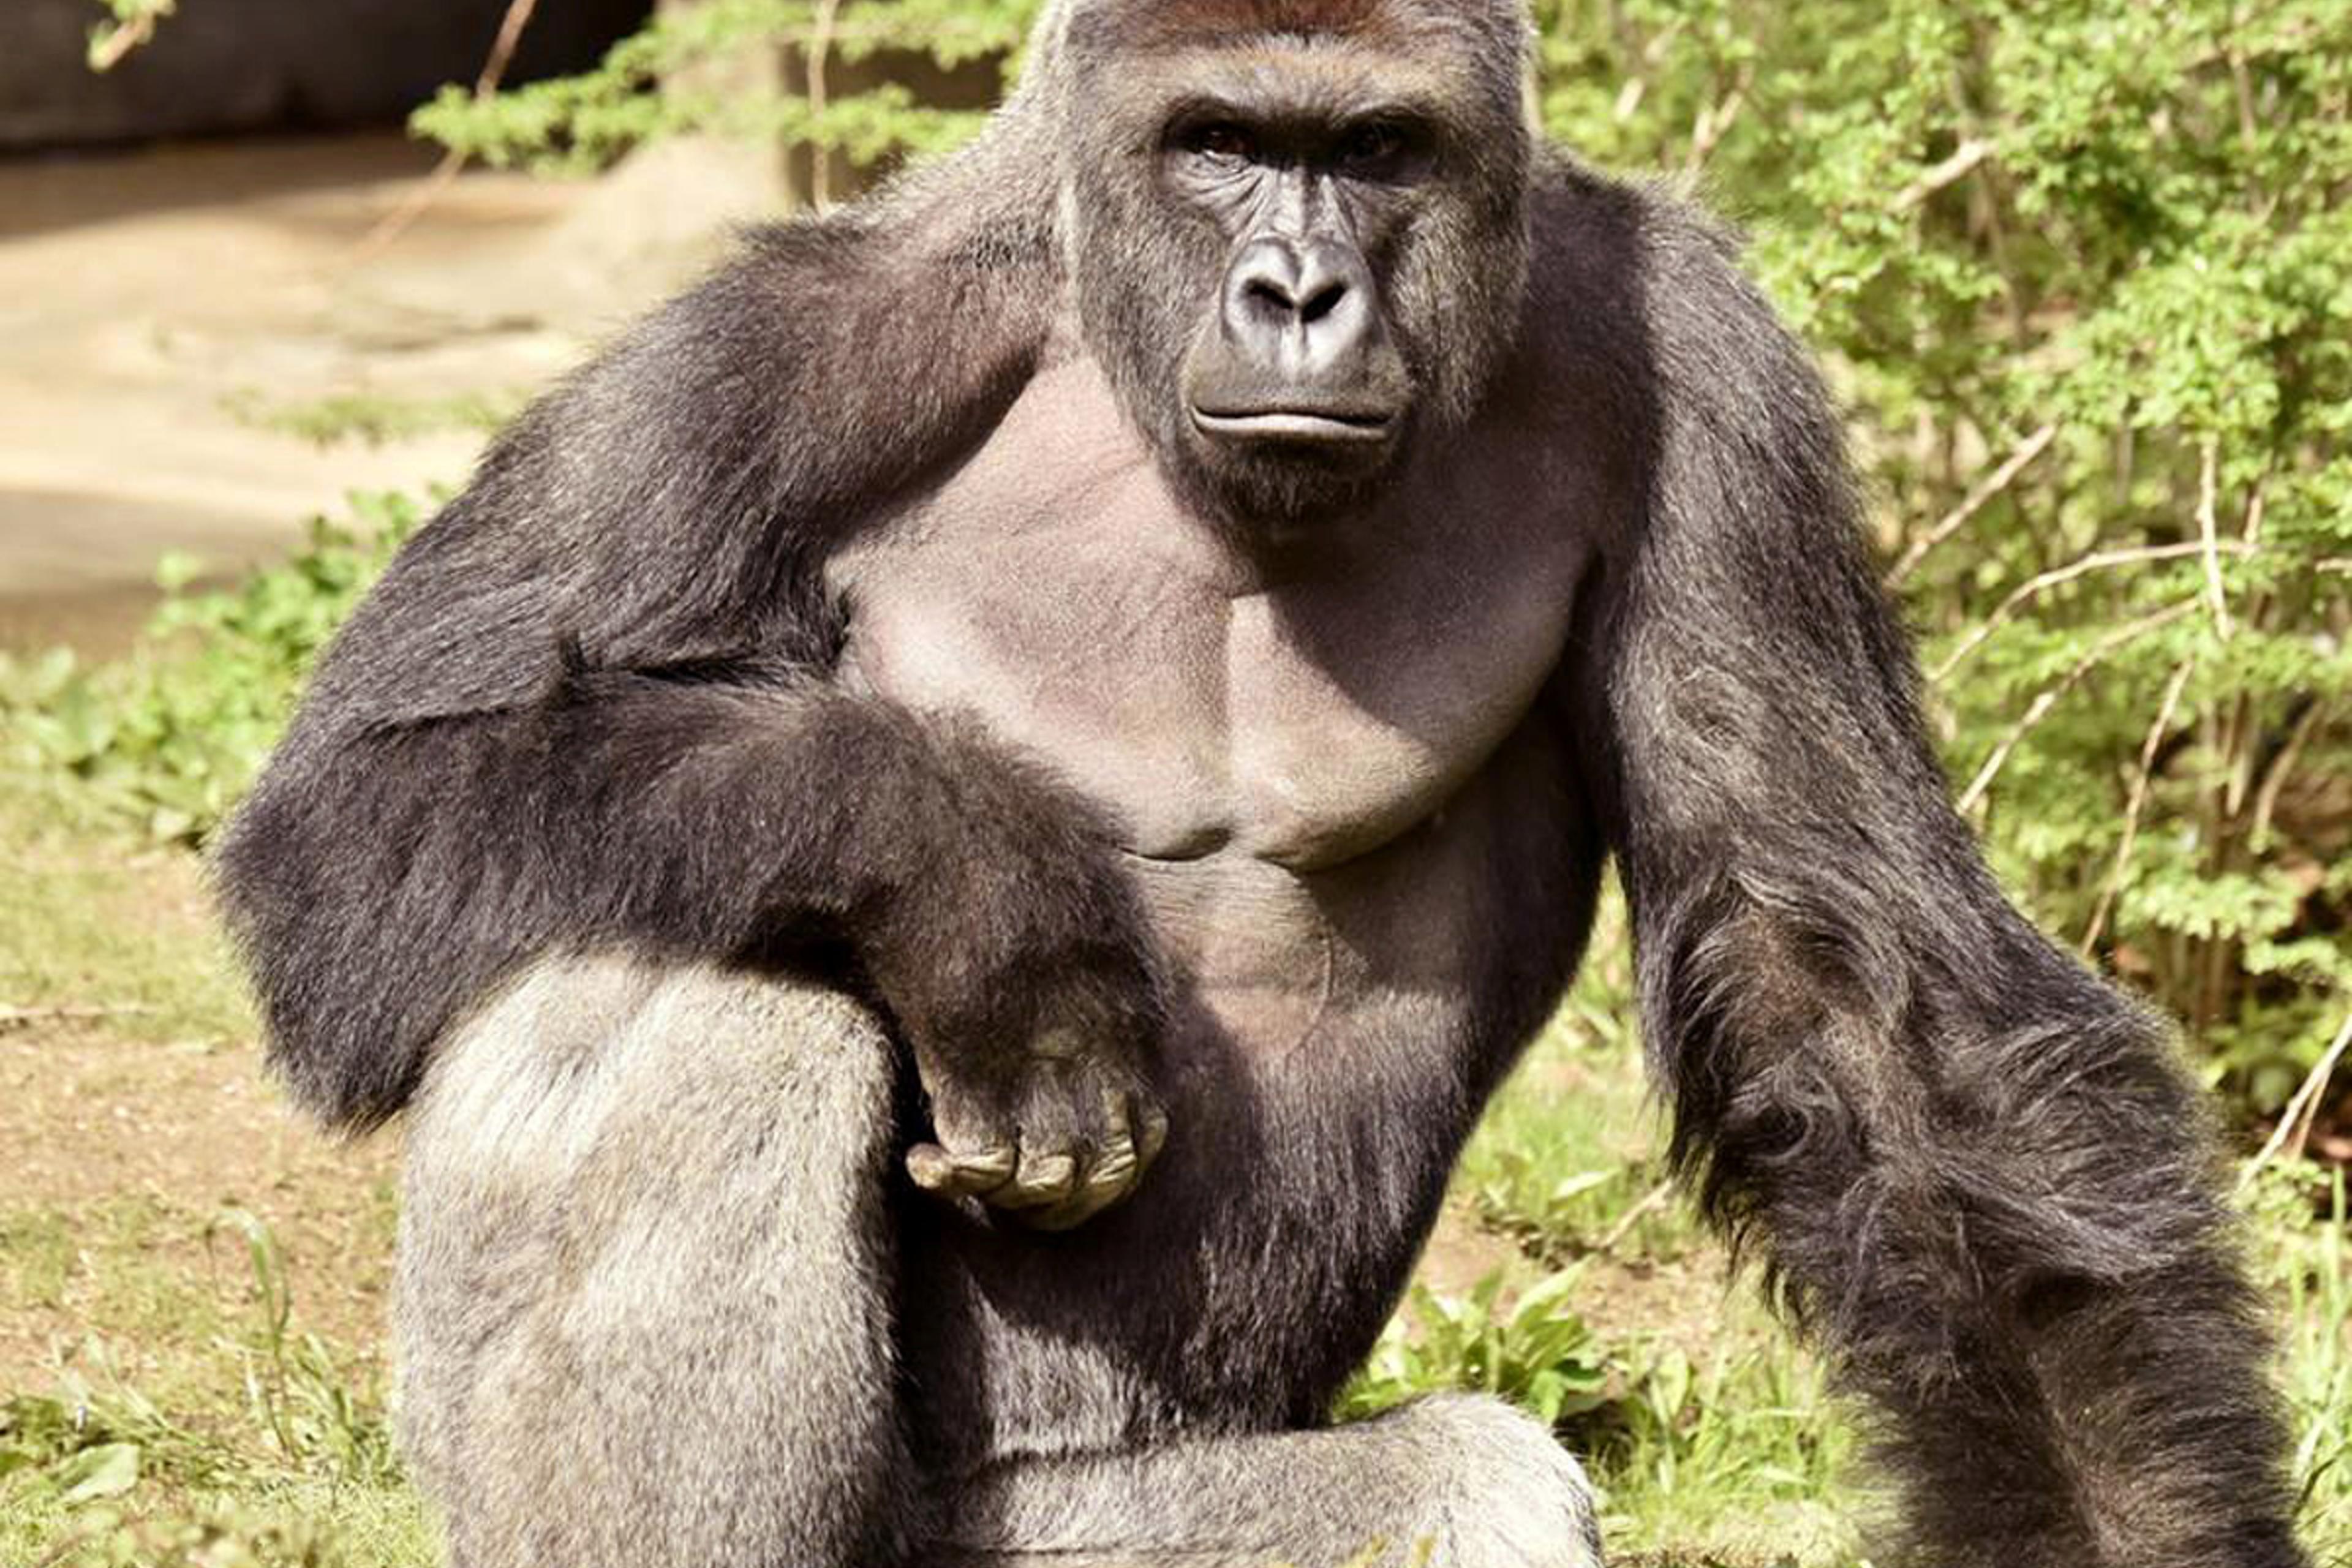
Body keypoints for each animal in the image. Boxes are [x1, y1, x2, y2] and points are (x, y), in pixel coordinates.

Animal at [215, 2, 2312, 1565]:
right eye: (1217, 137)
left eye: (1375, 149)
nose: (1297, 290)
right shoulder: (773, 355)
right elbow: (356, 809)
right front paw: (983, 888)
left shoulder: (1707, 375)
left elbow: (1862, 997)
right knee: (690, 988)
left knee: (1473, 1499)